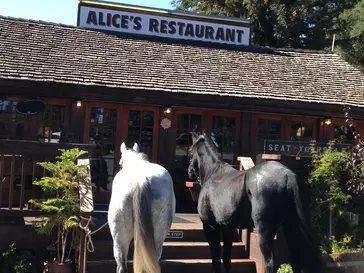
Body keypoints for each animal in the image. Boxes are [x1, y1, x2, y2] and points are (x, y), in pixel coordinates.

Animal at [188, 132, 324, 272]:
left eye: (190, 151)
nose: (189, 170)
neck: (213, 174)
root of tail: (288, 176)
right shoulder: (228, 229)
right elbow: (226, 258)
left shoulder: (210, 227)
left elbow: (215, 259)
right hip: (291, 226)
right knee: (297, 259)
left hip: (264, 230)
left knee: (271, 261)